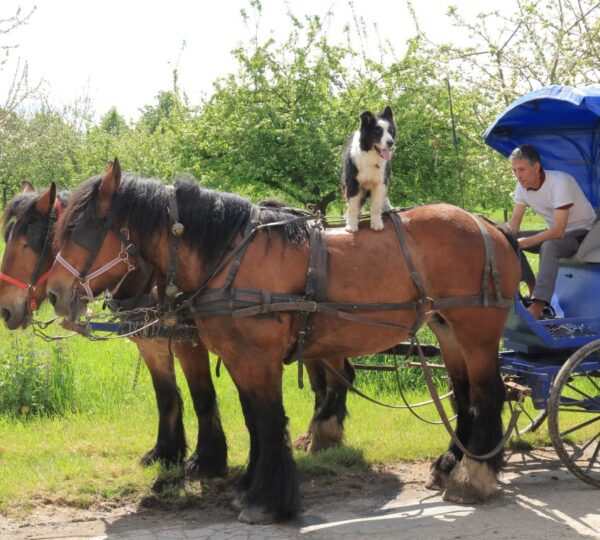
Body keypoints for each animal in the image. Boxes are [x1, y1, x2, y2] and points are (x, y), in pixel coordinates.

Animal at [47, 160, 520, 524]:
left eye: (82, 229)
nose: (53, 294)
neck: (229, 257)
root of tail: (487, 224)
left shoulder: (258, 358)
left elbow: (270, 421)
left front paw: (267, 501)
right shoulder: (239, 359)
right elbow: (254, 421)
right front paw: (249, 485)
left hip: (476, 331)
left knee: (489, 394)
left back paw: (473, 476)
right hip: (445, 327)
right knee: (463, 395)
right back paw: (451, 463)